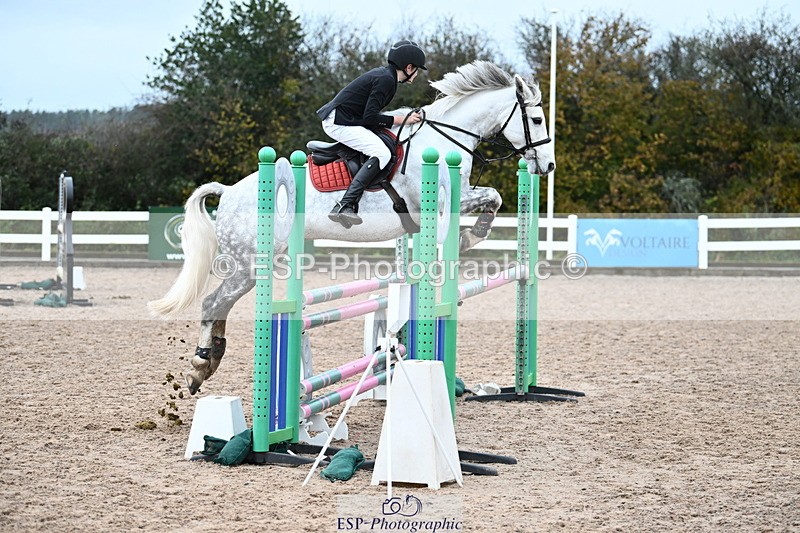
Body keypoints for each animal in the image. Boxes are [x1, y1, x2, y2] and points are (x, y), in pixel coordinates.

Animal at [148, 61, 555, 394]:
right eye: (536, 120)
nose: (547, 166)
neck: (442, 139)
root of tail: (229, 191)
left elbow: (492, 197)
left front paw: (472, 236)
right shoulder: (435, 205)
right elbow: (488, 200)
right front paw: (470, 237)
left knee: (221, 305)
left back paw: (210, 360)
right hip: (252, 263)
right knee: (213, 302)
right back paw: (200, 365)